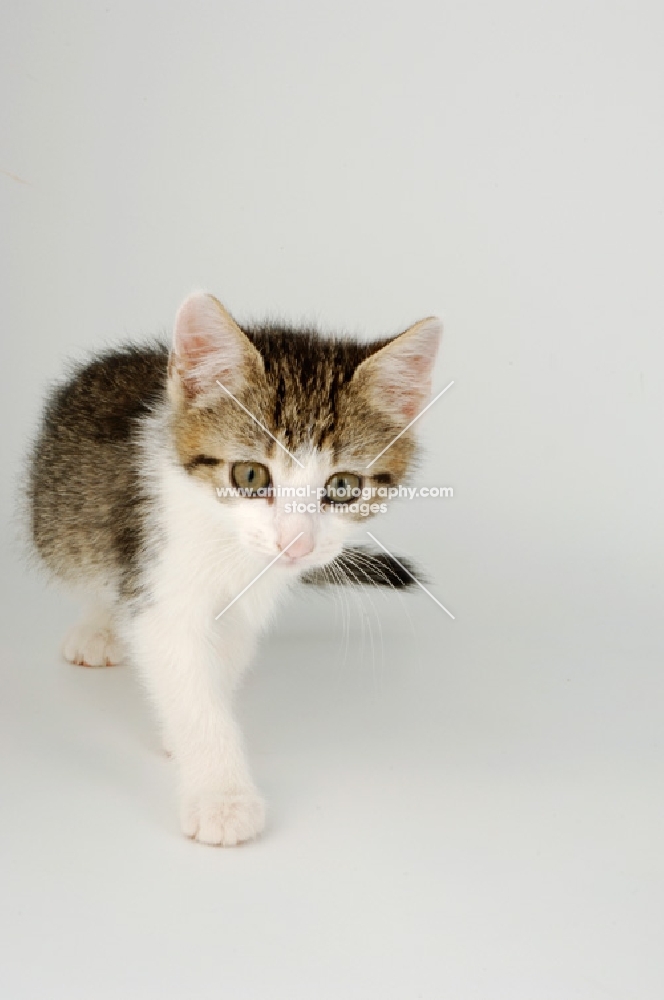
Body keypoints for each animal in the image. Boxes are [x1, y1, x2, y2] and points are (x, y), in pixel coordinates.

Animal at [27, 292, 440, 848]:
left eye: (343, 487)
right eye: (249, 475)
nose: (295, 543)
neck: (230, 547)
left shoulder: (252, 596)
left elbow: (220, 661)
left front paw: (185, 736)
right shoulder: (161, 571)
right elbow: (180, 666)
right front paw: (221, 796)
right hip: (60, 522)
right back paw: (99, 627)